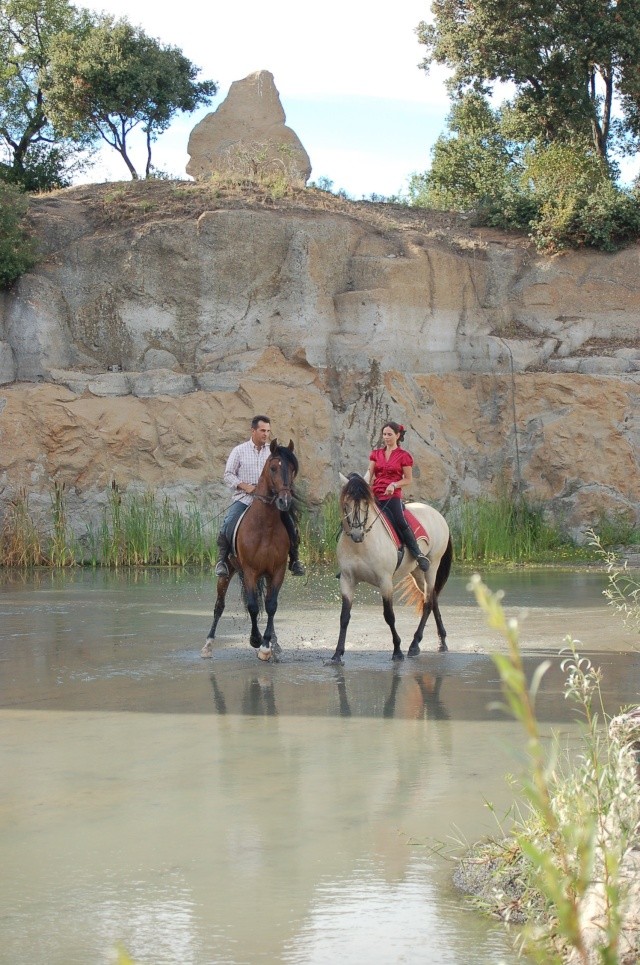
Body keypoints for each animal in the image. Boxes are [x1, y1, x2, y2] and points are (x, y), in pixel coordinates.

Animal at [201, 438, 298, 660]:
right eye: (273, 468)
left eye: (292, 469)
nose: (285, 501)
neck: (265, 526)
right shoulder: (250, 571)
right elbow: (253, 606)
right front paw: (256, 640)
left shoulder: (276, 571)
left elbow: (271, 606)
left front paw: (267, 645)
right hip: (228, 572)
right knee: (219, 606)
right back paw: (208, 644)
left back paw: (274, 643)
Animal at [332, 472, 452, 664]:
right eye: (346, 504)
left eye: (366, 503)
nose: (357, 534)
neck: (361, 545)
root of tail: (438, 515)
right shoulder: (347, 580)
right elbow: (344, 617)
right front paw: (337, 654)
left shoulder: (385, 581)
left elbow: (389, 615)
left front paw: (397, 651)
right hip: (417, 572)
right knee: (432, 598)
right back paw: (442, 642)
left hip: (432, 566)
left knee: (427, 602)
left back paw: (414, 645)